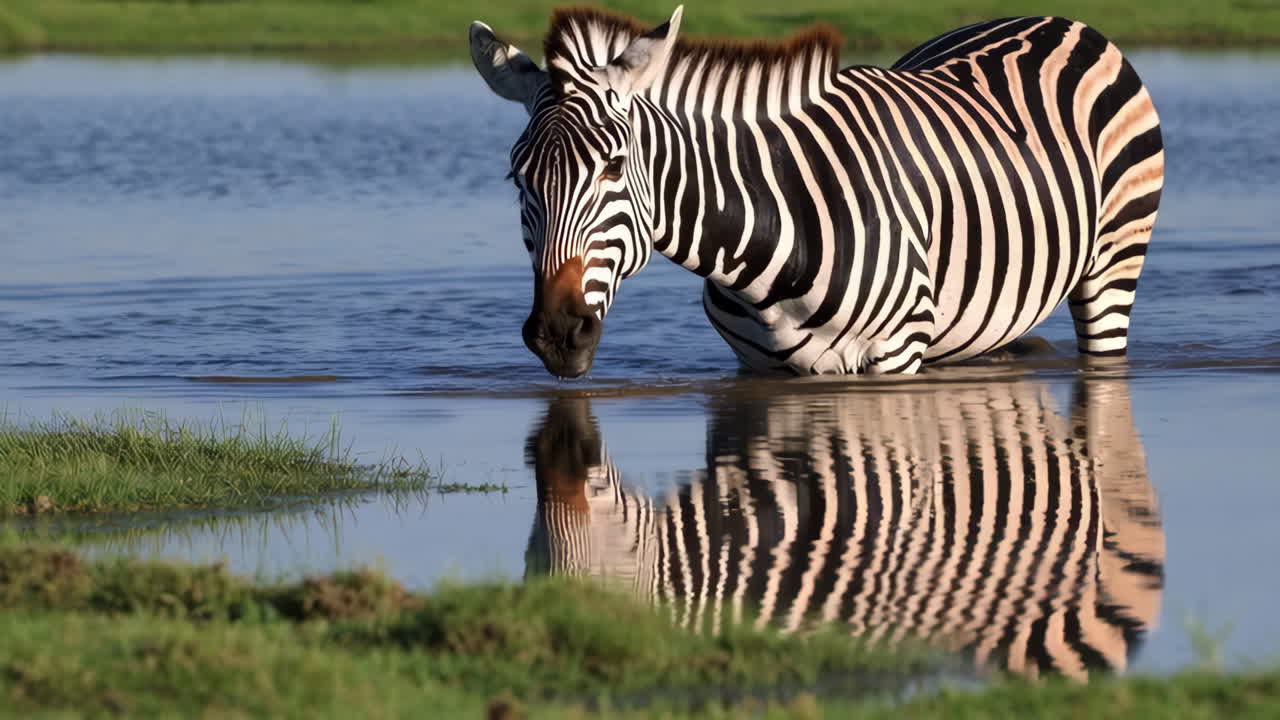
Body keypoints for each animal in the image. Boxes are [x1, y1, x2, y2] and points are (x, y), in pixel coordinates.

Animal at [470, 8, 1164, 377]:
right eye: (518, 177)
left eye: (613, 168)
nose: (558, 332)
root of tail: (1058, 19)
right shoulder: (759, 367)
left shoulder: (894, 358)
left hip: (1114, 265)